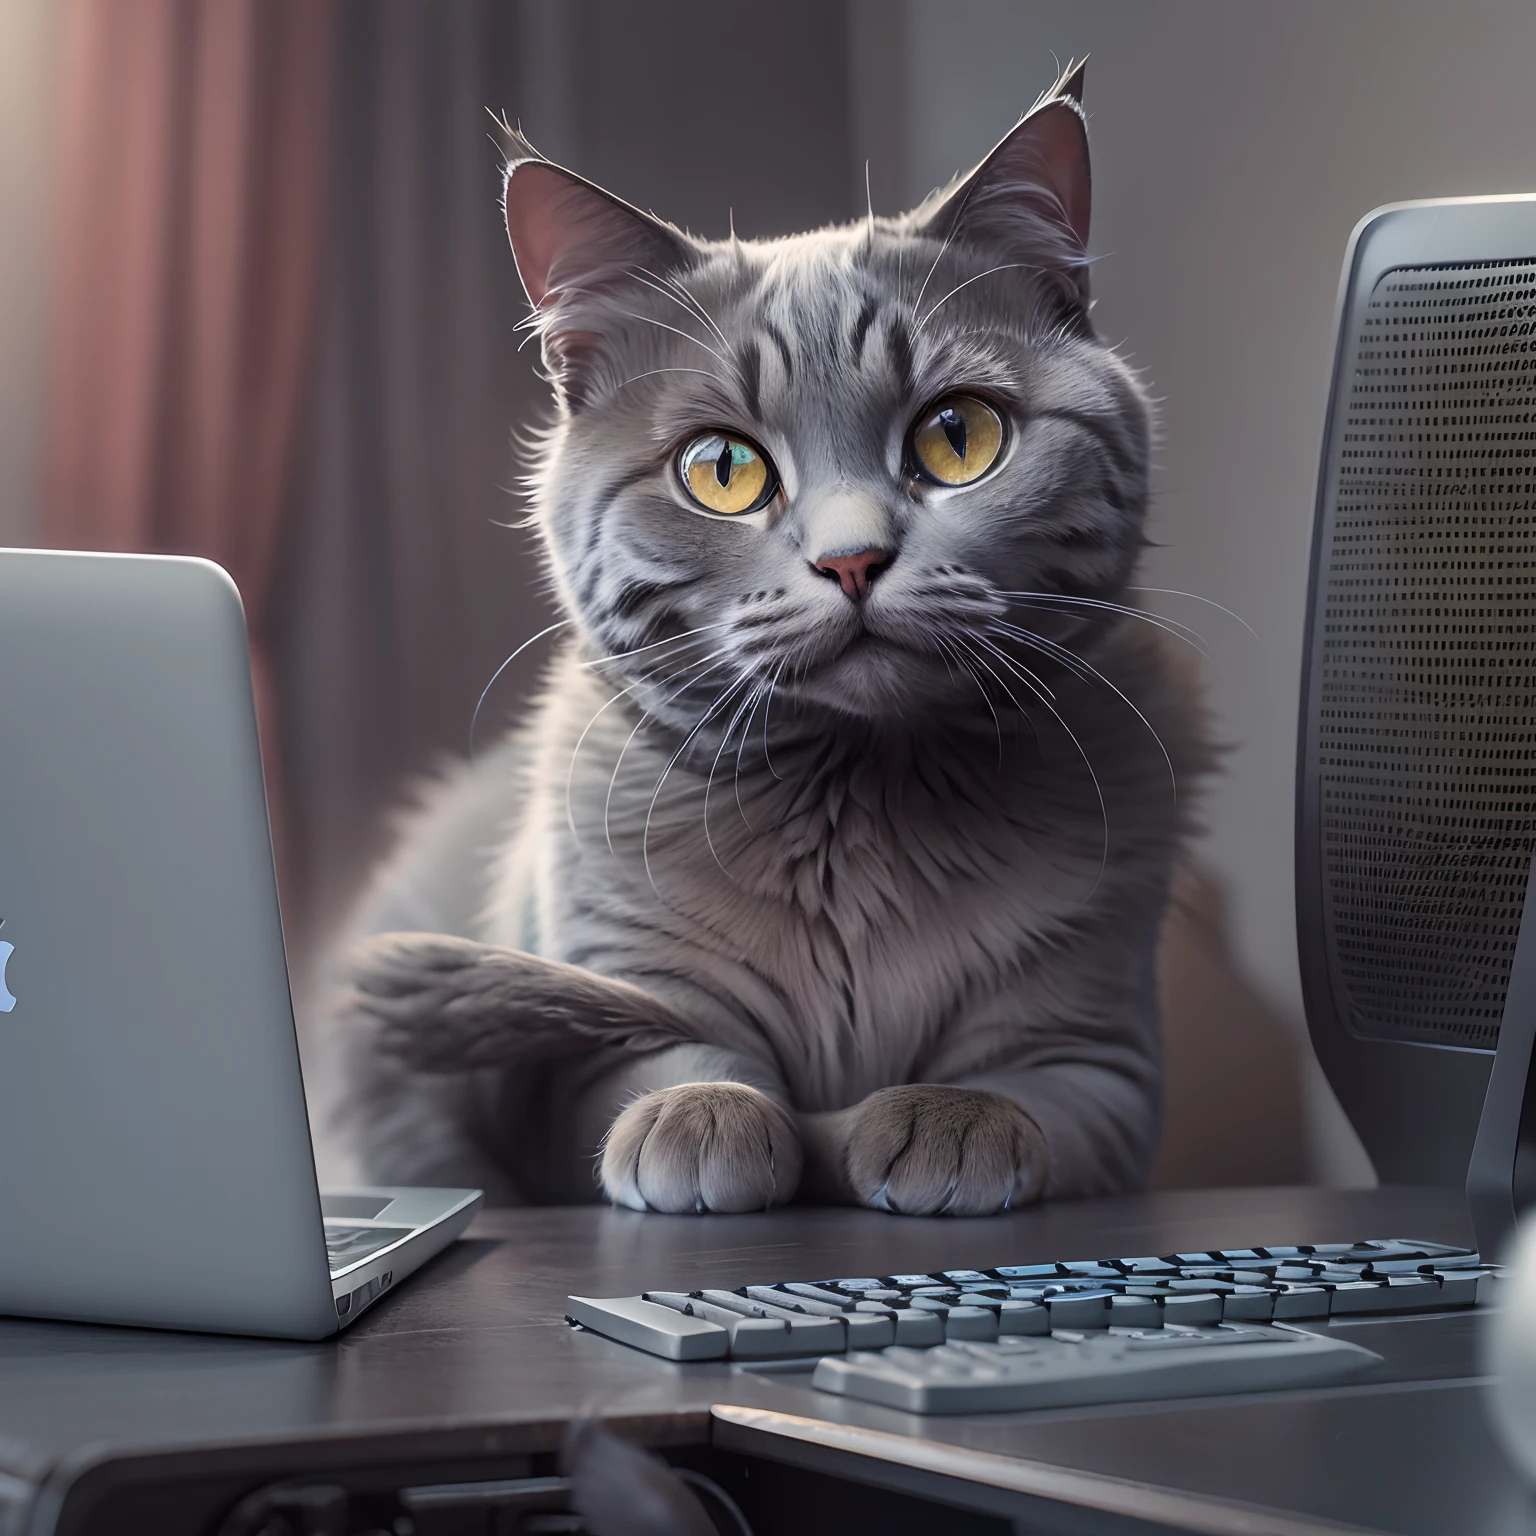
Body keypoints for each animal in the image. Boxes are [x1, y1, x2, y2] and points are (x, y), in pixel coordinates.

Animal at [317, 69, 1210, 1210]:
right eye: (724, 470)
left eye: (958, 437)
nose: (853, 560)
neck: (868, 812)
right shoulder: (608, 1009)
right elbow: (674, 1061)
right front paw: (705, 1120)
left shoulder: (1099, 1052)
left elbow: (1026, 1094)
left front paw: (944, 1122)